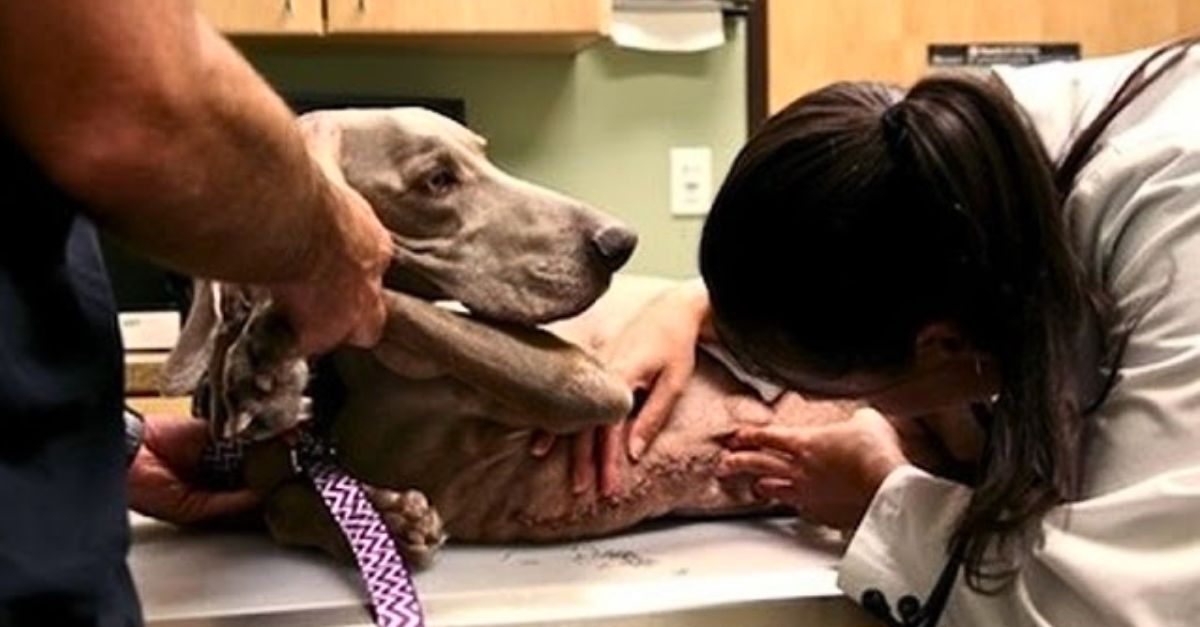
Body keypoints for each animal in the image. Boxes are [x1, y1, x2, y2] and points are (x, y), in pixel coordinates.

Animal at [162, 108, 854, 566]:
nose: (618, 242)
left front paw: (264, 345)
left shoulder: (589, 384)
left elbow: (384, 295)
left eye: (484, 154)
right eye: (437, 180)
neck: (339, 389)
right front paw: (389, 516)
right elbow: (279, 504)